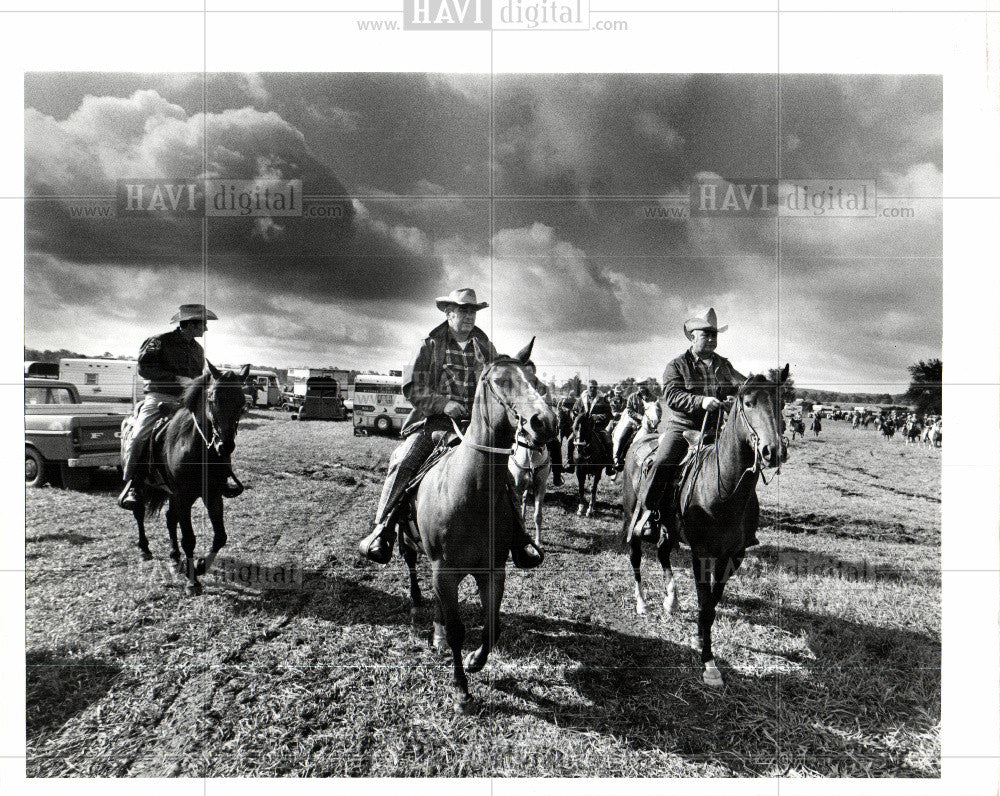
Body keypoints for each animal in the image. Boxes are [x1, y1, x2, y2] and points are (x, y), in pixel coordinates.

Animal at [129, 364, 250, 592]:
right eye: (213, 398)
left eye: (242, 402)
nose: (225, 446)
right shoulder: (183, 496)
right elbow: (189, 539)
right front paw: (193, 580)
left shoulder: (212, 495)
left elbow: (220, 536)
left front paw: (201, 565)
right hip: (143, 485)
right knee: (139, 512)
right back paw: (144, 549)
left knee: (170, 519)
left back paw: (175, 558)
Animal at [398, 342, 560, 708]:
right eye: (499, 380)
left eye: (535, 379)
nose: (545, 421)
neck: (471, 493)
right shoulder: (444, 571)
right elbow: (459, 630)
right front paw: (460, 688)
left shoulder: (492, 570)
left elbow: (492, 624)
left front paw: (474, 660)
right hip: (408, 540)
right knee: (412, 564)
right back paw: (416, 604)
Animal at [616, 366, 788, 684]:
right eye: (748, 403)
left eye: (781, 404)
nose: (773, 451)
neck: (724, 490)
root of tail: (641, 440)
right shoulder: (701, 553)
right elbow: (705, 602)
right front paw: (708, 661)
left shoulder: (734, 555)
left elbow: (712, 602)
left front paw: (700, 638)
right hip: (632, 516)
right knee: (635, 556)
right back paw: (642, 603)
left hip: (670, 528)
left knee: (663, 552)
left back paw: (671, 602)